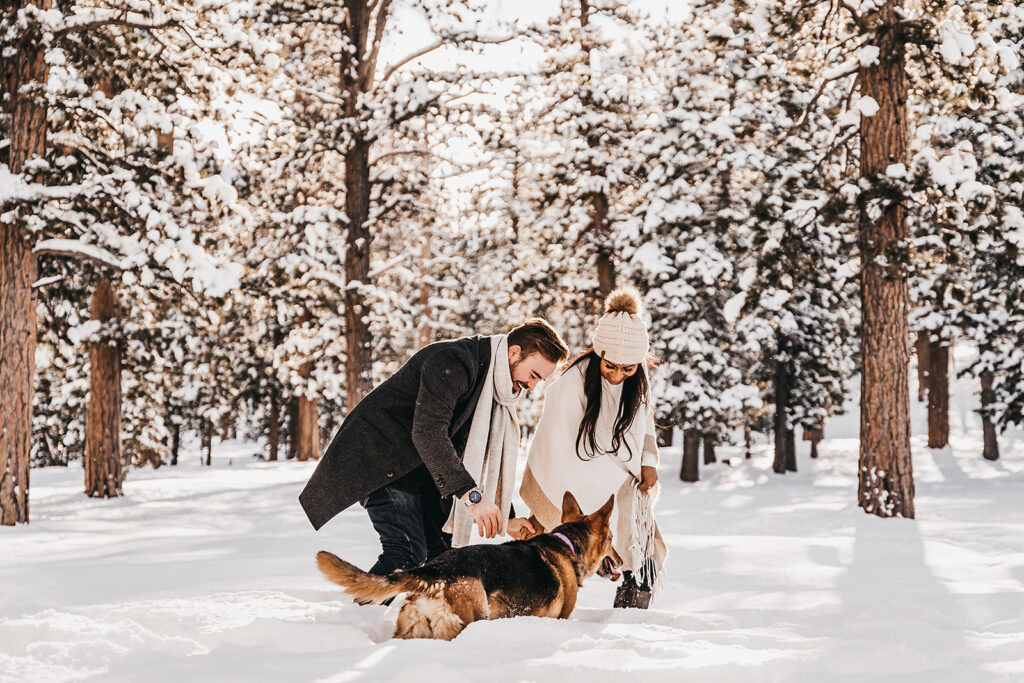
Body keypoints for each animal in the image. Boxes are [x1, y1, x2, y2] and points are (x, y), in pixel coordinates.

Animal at [317, 491, 622, 643]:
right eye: (612, 539)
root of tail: (435, 572)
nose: (621, 561)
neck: (567, 544)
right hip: (469, 619)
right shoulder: (561, 617)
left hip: (414, 630)